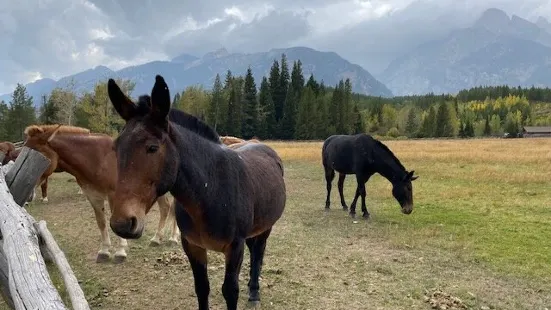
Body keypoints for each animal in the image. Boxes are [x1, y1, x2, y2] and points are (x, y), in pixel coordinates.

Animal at [23, 123, 179, 264]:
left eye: (38, 155)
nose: (29, 195)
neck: (99, 159)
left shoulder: (114, 196)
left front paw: (120, 252)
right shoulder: (93, 196)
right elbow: (101, 222)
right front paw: (104, 251)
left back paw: (173, 238)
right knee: (165, 208)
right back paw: (157, 239)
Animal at [108, 75, 288, 310]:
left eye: (153, 148)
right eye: (116, 147)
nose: (122, 223)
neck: (210, 192)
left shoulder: (234, 247)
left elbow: (230, 291)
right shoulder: (193, 246)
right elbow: (202, 288)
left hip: (266, 227)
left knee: (258, 254)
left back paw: (255, 293)